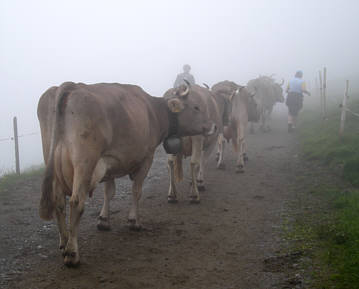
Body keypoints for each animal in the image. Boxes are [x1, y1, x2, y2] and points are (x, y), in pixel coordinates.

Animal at [38, 81, 217, 266]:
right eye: (196, 107)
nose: (214, 125)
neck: (153, 111)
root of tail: (70, 86)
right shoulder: (147, 158)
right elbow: (136, 191)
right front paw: (134, 221)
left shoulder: (109, 162)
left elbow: (109, 192)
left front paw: (104, 220)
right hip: (84, 162)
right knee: (76, 202)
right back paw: (72, 253)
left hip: (54, 163)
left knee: (59, 203)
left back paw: (64, 242)